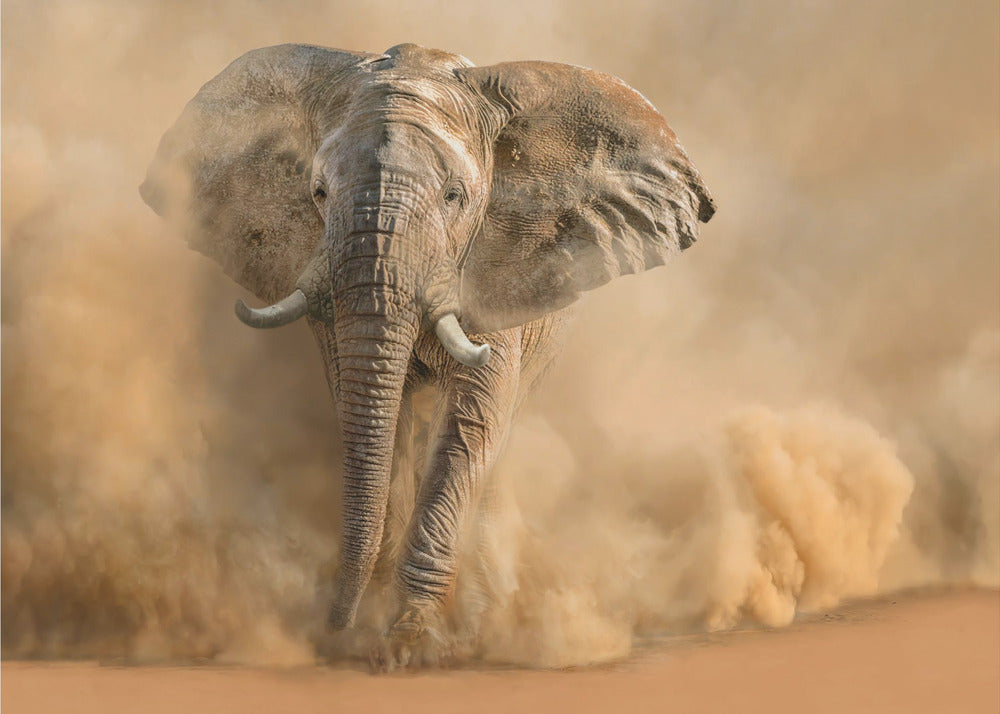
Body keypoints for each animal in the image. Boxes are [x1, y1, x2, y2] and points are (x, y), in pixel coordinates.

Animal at [140, 42, 715, 668]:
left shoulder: (490, 270)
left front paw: (408, 645)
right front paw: (372, 633)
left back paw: (483, 626)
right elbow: (375, 419)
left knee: (496, 442)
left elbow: (469, 426)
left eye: (454, 197)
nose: (331, 629)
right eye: (318, 193)